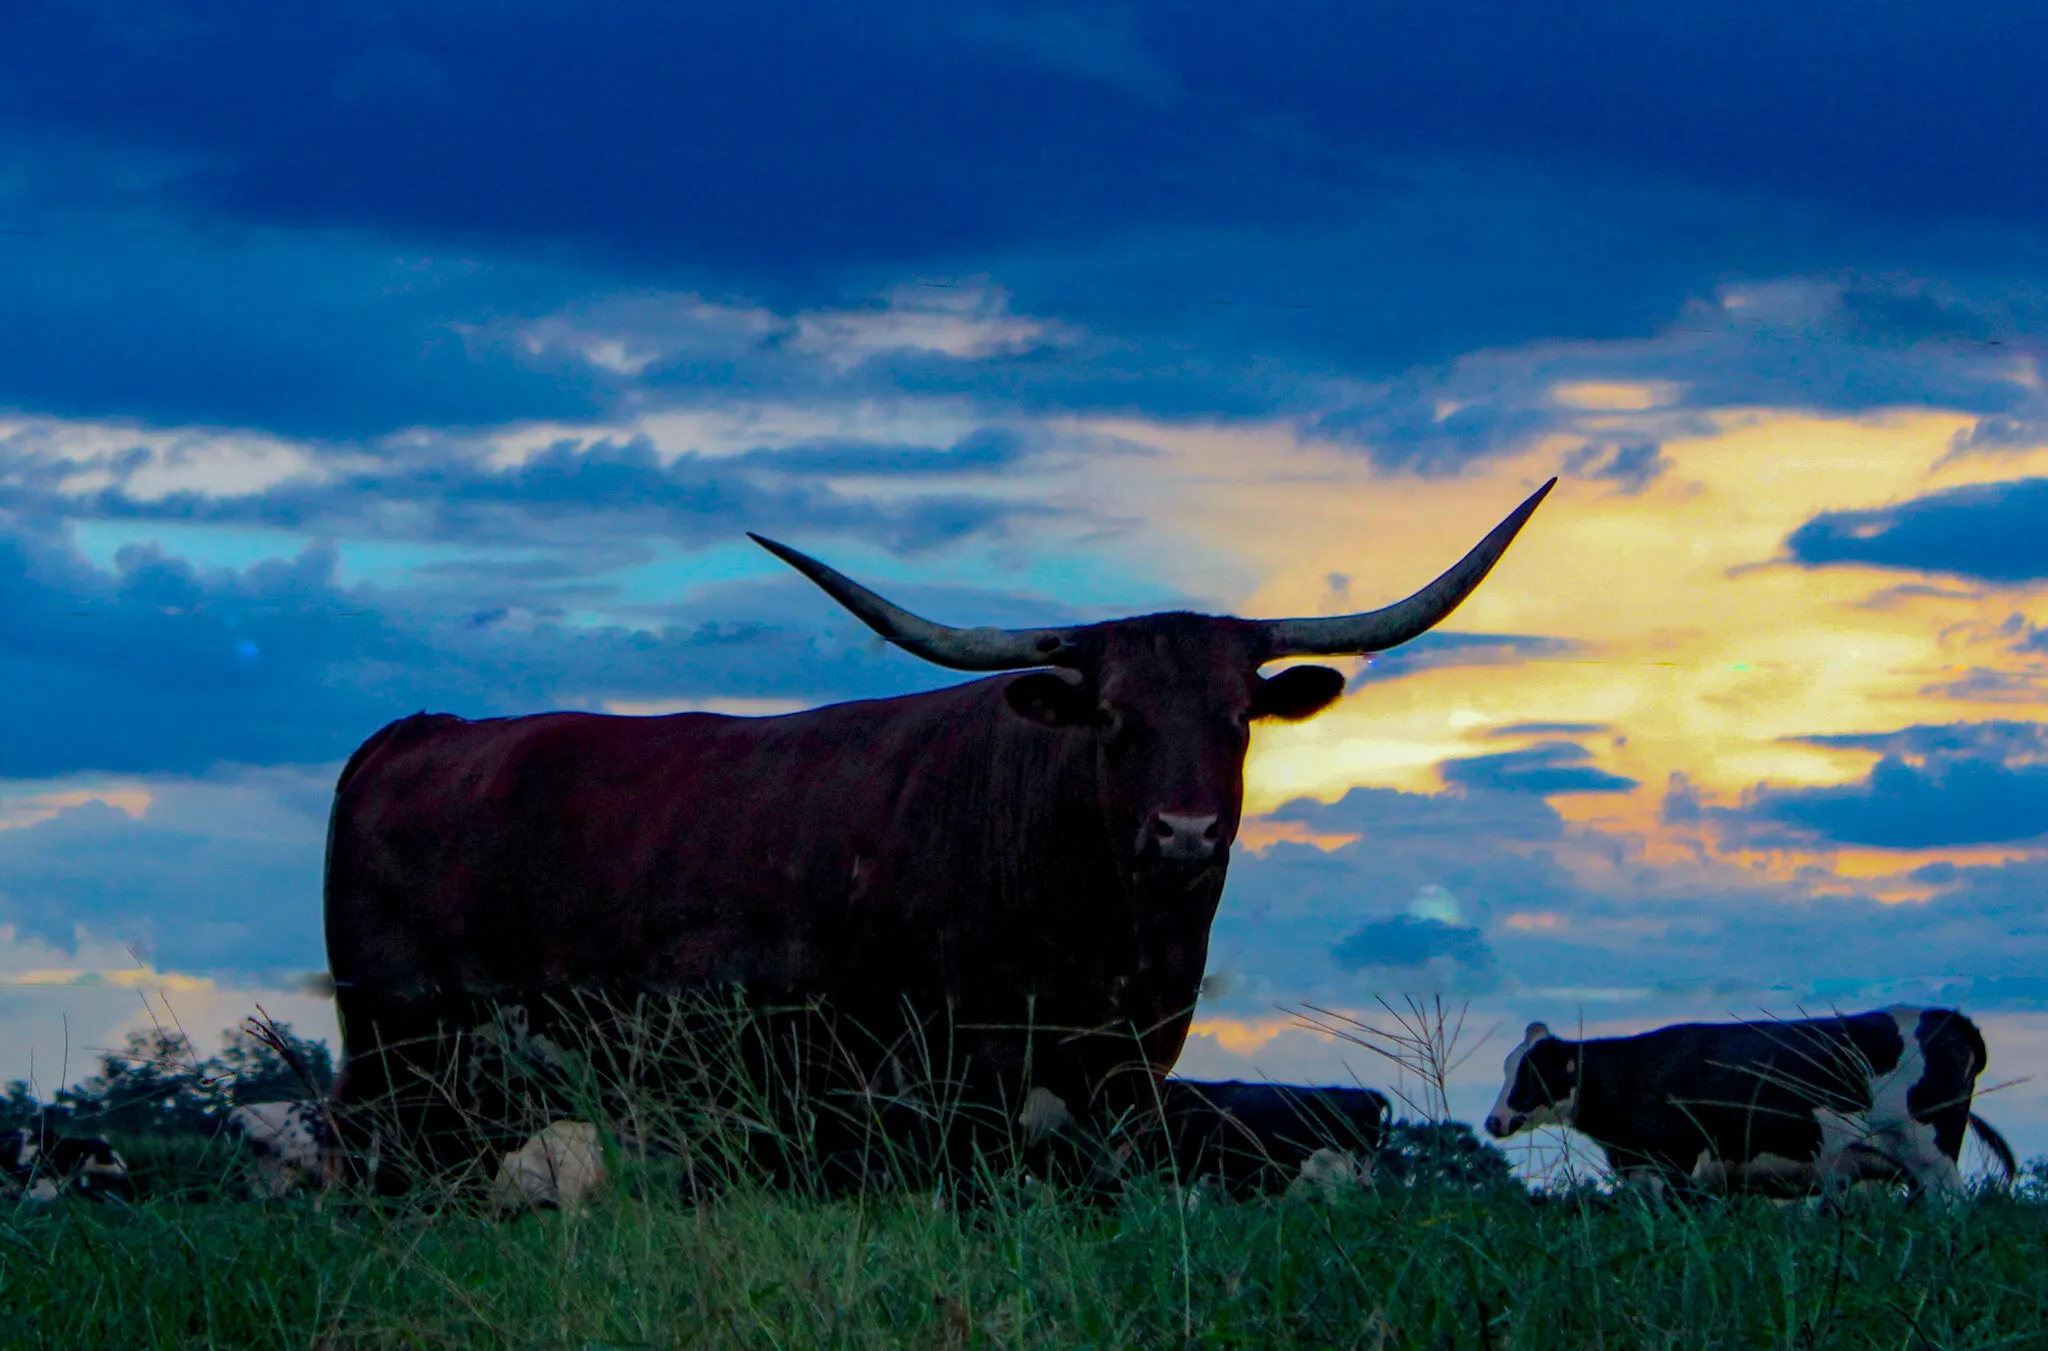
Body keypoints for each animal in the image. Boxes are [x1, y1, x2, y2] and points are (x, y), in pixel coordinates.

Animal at [322, 481, 1553, 1188]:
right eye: (1113, 716)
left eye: (1234, 717)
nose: (1186, 831)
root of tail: (420, 733)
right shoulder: (955, 1087)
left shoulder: (1123, 1086)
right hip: (399, 1056)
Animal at [1484, 1007, 2017, 1203]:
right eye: (1505, 1067)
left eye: (1531, 1072)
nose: (1494, 1120)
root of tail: (1948, 1017)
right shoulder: (1643, 1173)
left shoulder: (1678, 1169)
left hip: (1931, 1158)